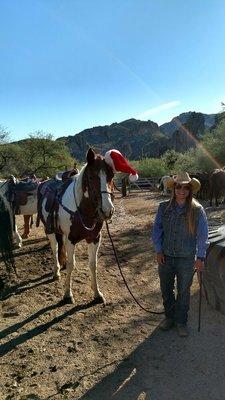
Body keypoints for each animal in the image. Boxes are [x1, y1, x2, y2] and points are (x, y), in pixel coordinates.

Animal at [37, 148, 115, 304]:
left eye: (111, 176)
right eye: (91, 177)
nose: (107, 210)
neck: (82, 210)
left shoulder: (94, 238)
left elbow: (93, 264)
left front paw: (97, 294)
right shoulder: (71, 239)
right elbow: (71, 265)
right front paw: (67, 294)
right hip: (49, 230)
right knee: (55, 248)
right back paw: (56, 271)